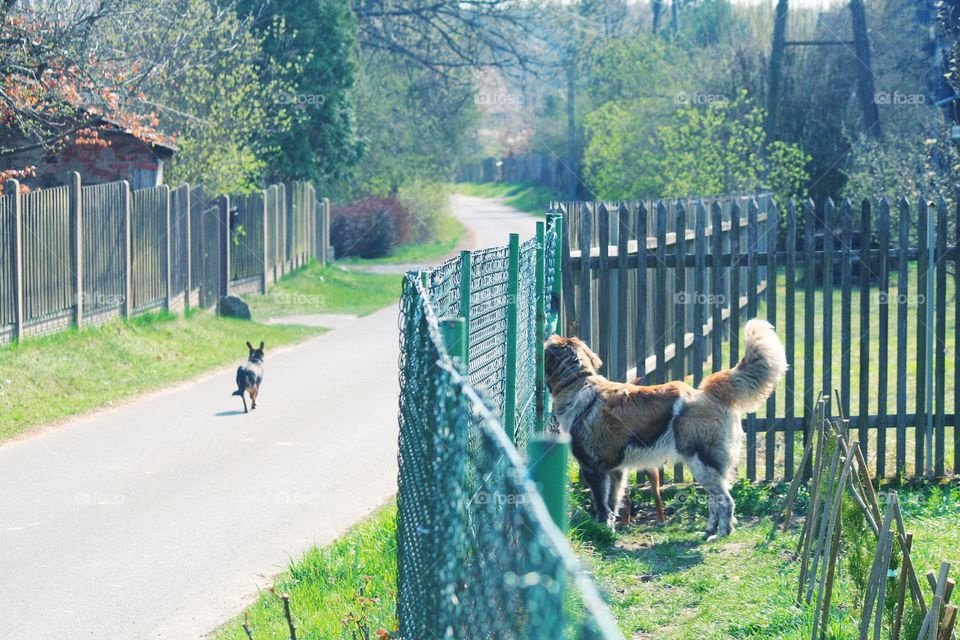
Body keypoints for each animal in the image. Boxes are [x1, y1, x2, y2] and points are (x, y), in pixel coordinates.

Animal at [548, 320, 788, 540]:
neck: (578, 384)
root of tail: (709, 392)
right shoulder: (615, 471)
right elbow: (613, 503)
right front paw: (610, 531)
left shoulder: (593, 469)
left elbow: (601, 507)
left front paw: (600, 533)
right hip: (709, 468)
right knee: (715, 500)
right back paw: (708, 530)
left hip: (701, 463)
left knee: (725, 501)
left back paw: (721, 534)